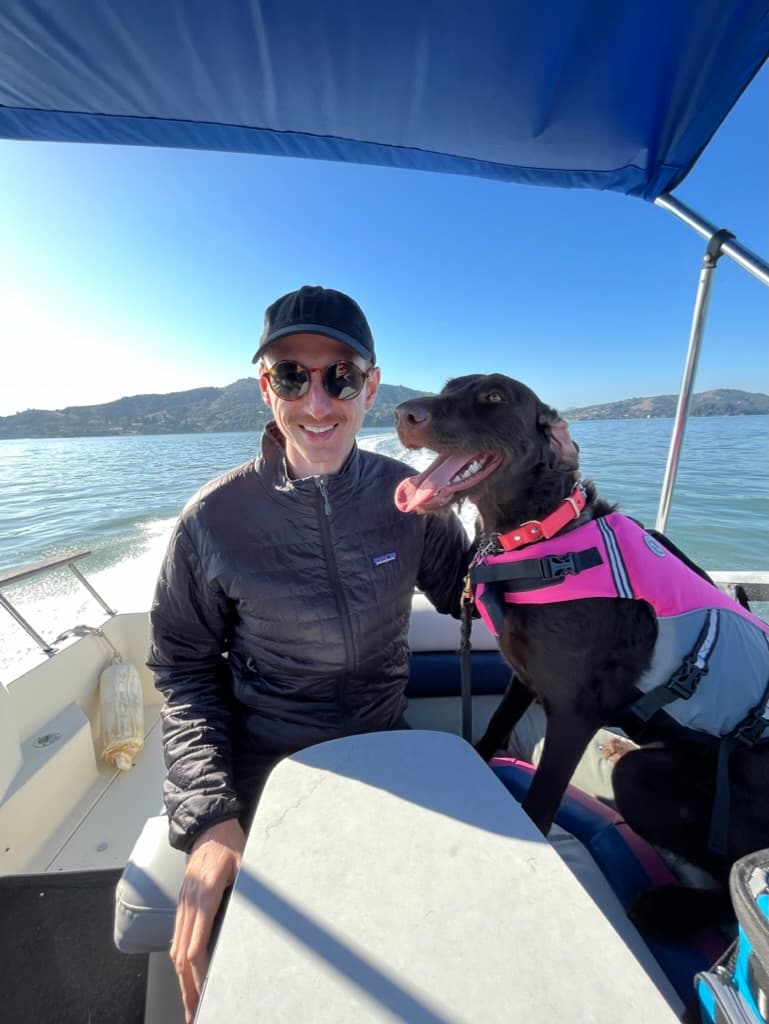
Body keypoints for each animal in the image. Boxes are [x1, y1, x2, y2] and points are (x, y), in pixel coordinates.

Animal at [397, 374, 769, 937]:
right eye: (447, 387)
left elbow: (541, 800)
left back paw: (667, 907)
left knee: (732, 881)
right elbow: (493, 729)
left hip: (645, 778)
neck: (540, 533)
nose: (402, 413)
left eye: (493, 398)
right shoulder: (525, 677)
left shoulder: (574, 715)